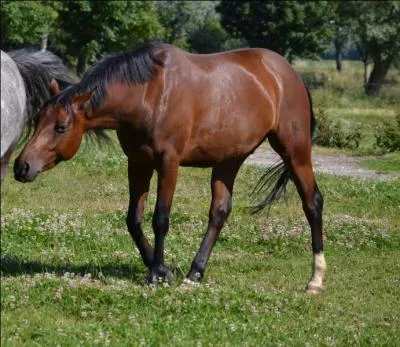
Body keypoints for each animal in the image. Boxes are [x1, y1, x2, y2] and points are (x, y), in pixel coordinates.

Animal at [14, 42, 328, 294]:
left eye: (61, 127)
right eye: (38, 119)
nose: (22, 166)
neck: (149, 94)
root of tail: (290, 74)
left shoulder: (169, 162)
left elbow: (160, 219)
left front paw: (156, 273)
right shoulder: (138, 162)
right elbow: (134, 219)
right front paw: (163, 269)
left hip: (295, 151)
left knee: (312, 202)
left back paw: (315, 279)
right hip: (229, 160)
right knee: (220, 211)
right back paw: (195, 273)